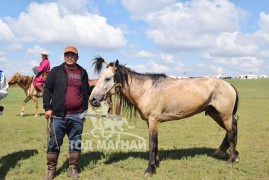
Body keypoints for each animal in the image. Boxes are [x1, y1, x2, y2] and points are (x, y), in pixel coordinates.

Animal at [89, 57, 239, 176]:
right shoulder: (151, 121)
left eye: (107, 78)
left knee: (231, 133)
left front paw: (150, 169)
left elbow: (152, 142)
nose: (93, 100)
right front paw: (156, 163)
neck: (147, 89)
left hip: (224, 115)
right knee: (231, 130)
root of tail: (228, 85)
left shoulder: (154, 120)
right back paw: (231, 155)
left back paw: (231, 160)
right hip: (216, 114)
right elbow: (156, 142)